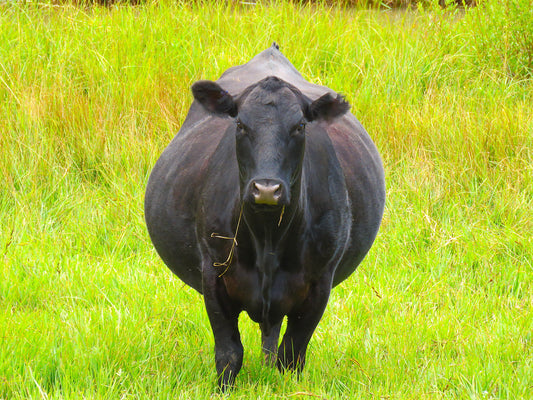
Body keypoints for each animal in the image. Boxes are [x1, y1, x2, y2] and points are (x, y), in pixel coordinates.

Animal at [143, 44, 384, 390]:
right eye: (241, 125)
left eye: (300, 126)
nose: (267, 189)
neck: (268, 237)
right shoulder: (213, 273)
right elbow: (229, 353)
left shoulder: (319, 283)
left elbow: (292, 354)